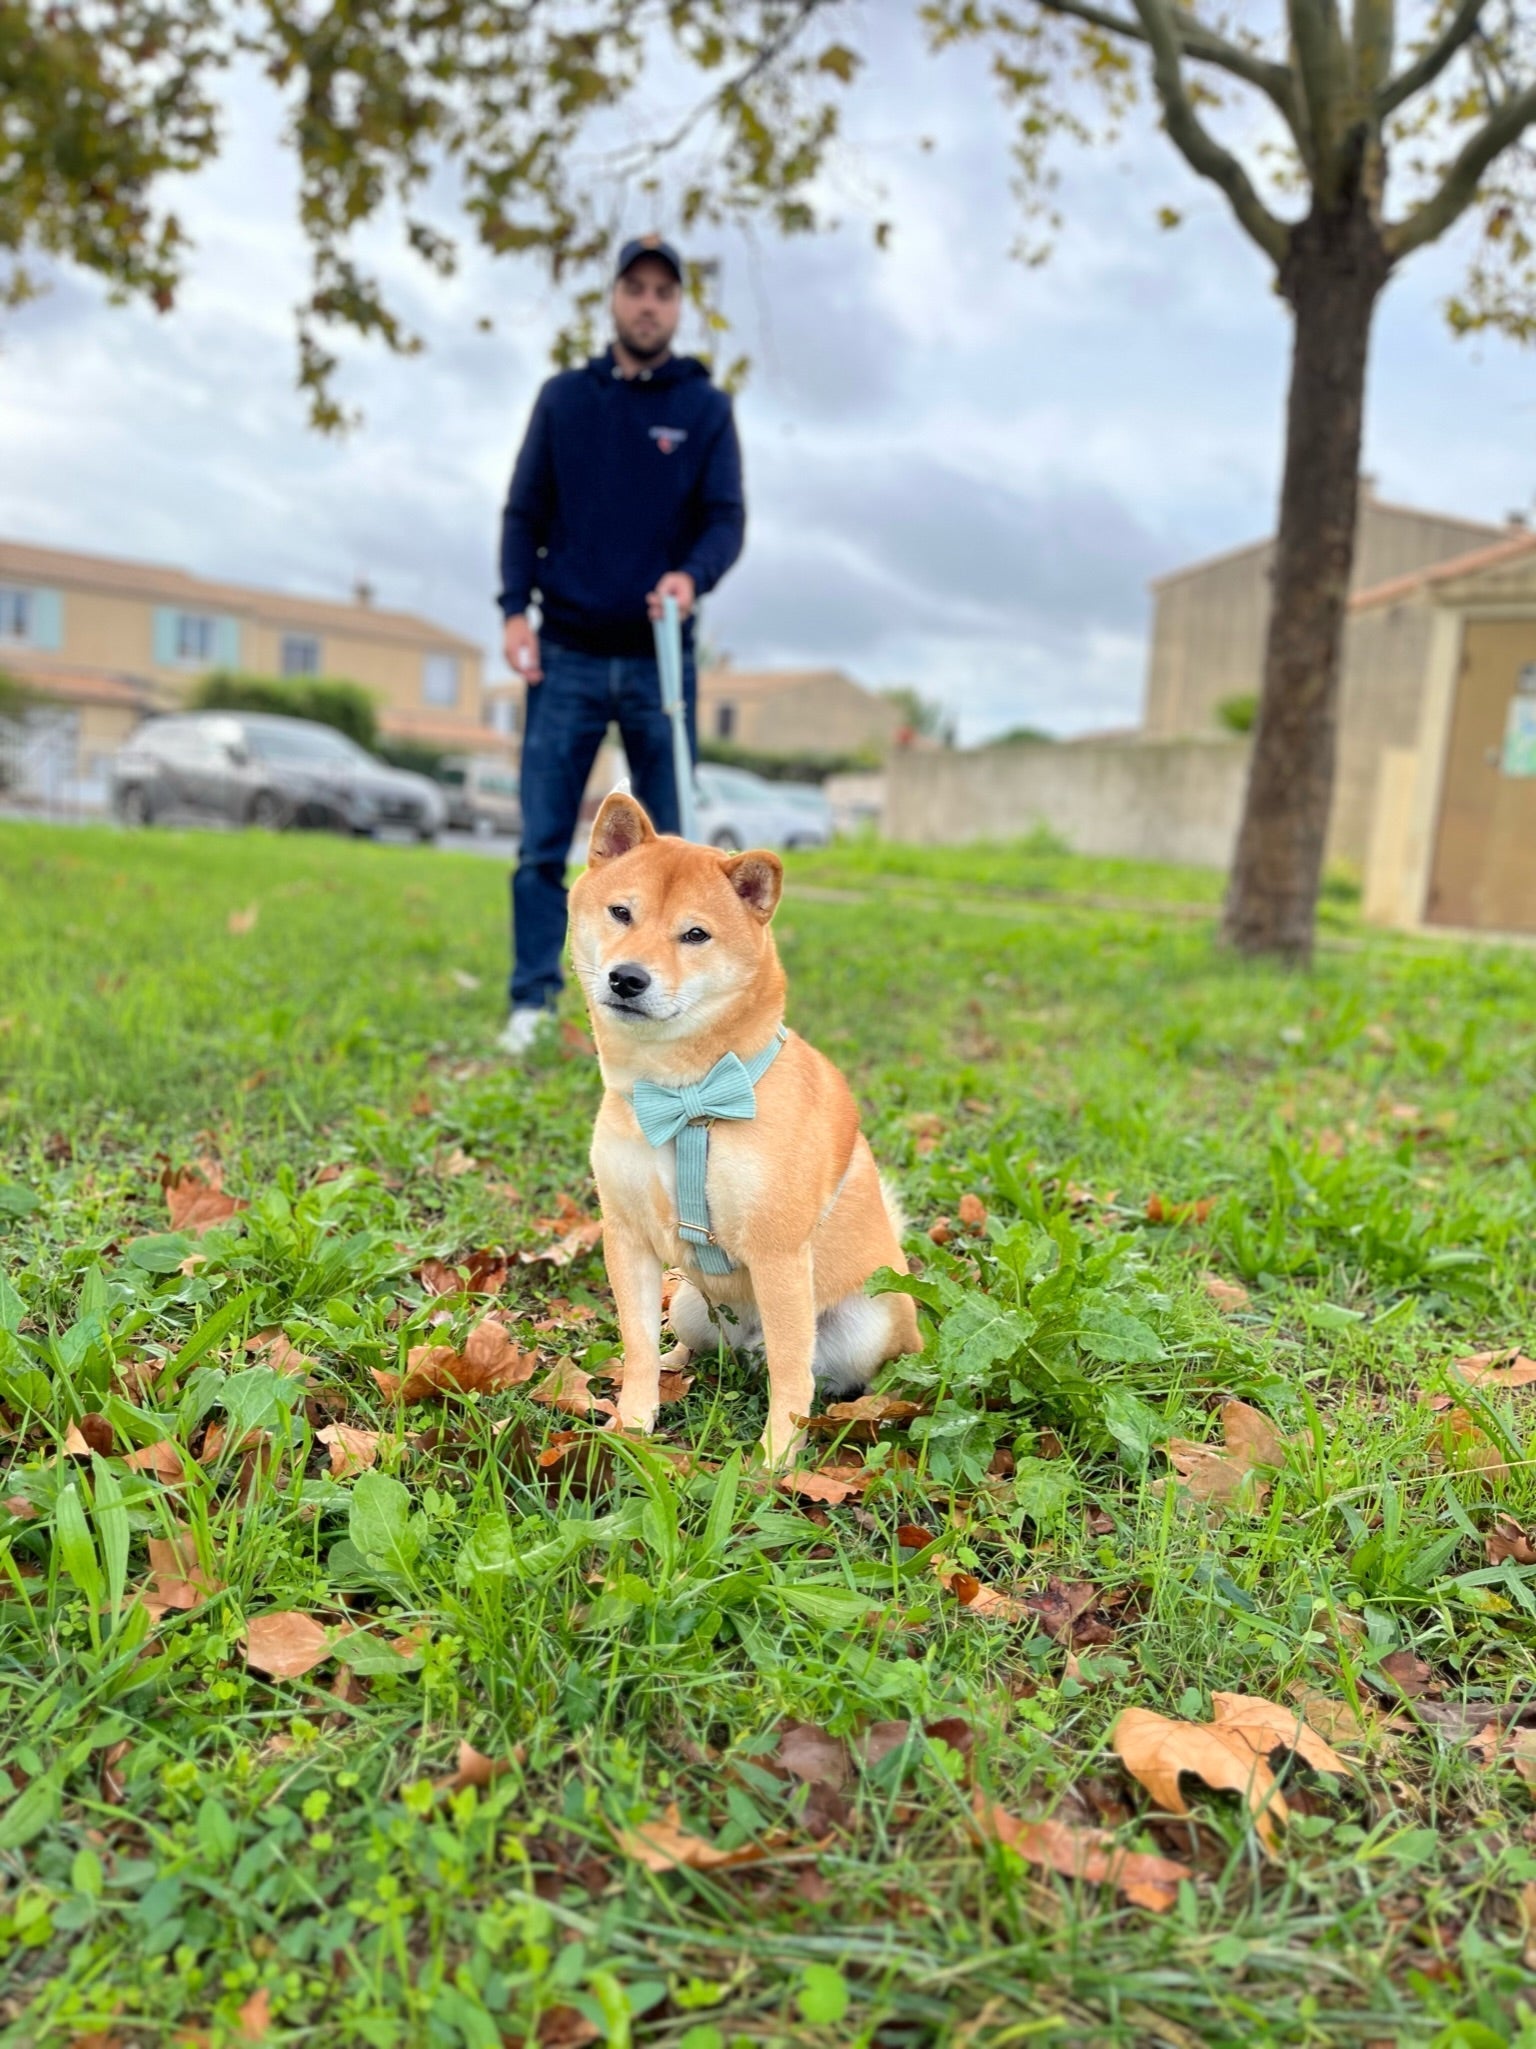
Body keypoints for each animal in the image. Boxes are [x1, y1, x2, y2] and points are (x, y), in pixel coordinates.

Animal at [573, 790, 921, 1467]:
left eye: (695, 934)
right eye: (621, 912)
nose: (628, 977)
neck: (686, 1097)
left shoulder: (779, 1254)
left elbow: (791, 1370)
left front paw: (778, 1458)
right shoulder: (626, 1235)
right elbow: (636, 1342)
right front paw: (634, 1422)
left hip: (867, 1321)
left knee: (831, 1370)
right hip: (689, 1302)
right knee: (686, 1341)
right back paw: (678, 1364)